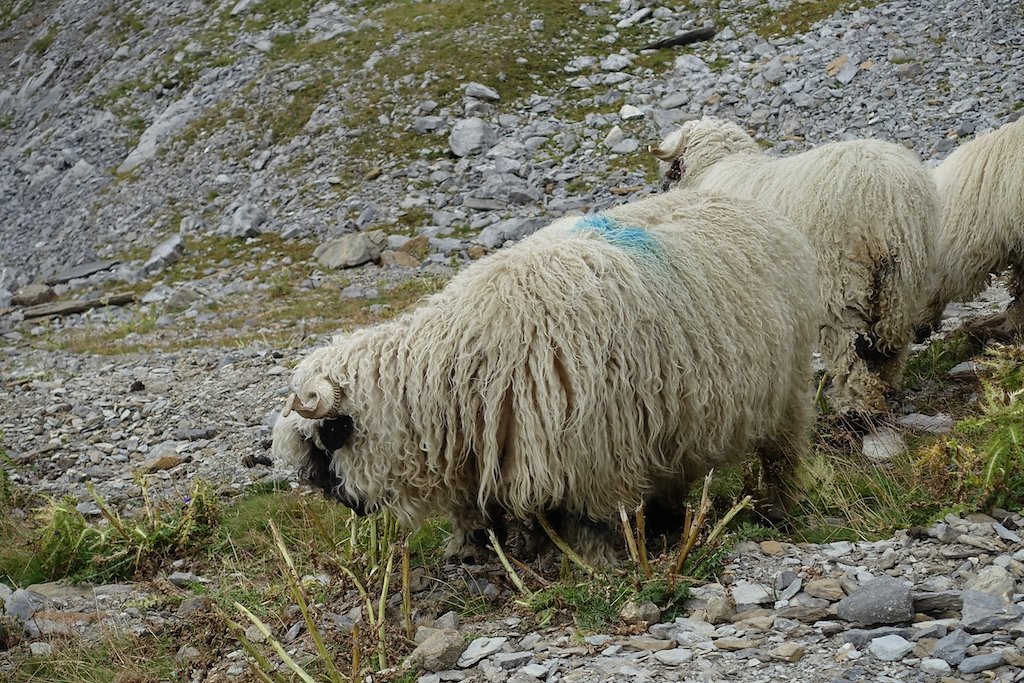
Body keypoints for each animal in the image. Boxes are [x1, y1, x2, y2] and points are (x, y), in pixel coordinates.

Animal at [270, 189, 815, 565]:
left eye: (331, 434)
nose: (338, 500)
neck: (458, 365)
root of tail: (747, 205)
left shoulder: (591, 449)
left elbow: (588, 518)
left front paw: (596, 561)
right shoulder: (493, 449)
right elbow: (487, 510)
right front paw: (478, 550)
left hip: (787, 387)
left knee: (782, 455)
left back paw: (777, 511)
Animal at [651, 117, 937, 417]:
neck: (716, 167)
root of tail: (887, 194)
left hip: (840, 281)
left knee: (850, 345)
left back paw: (855, 406)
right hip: (904, 277)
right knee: (892, 337)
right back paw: (887, 384)